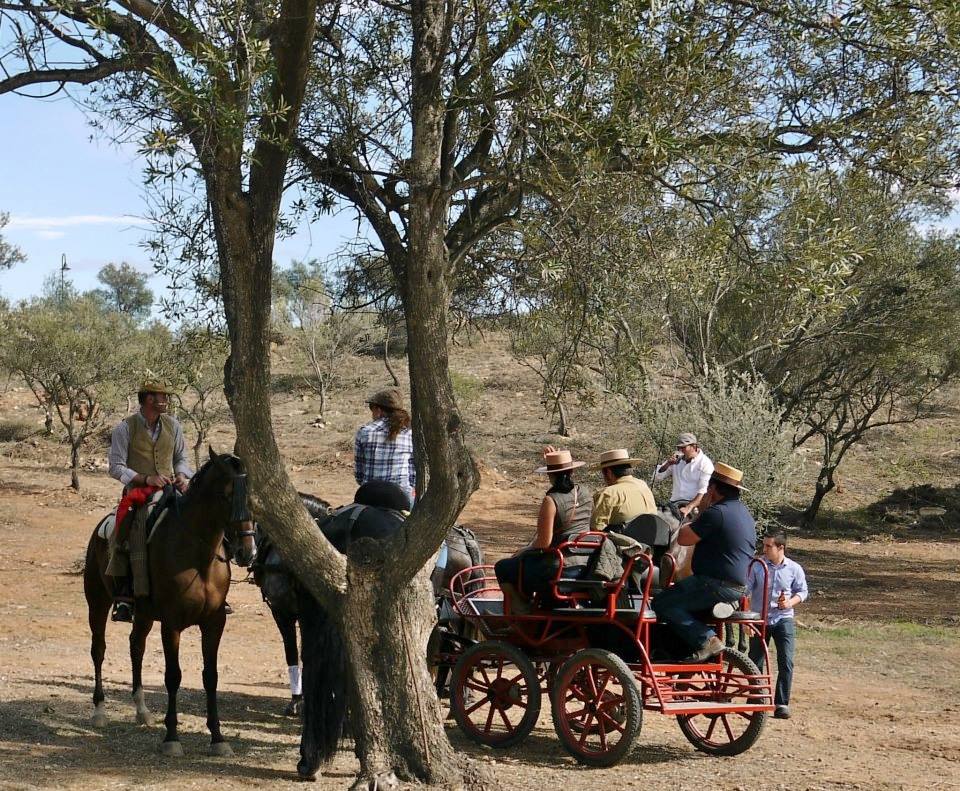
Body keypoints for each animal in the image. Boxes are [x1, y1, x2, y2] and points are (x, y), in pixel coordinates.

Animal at [84, 448, 255, 756]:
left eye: (250, 498)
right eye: (226, 495)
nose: (248, 552)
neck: (198, 558)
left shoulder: (214, 623)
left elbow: (211, 676)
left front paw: (218, 738)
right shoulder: (172, 624)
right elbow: (173, 676)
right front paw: (172, 738)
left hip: (143, 615)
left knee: (136, 647)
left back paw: (141, 710)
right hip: (97, 603)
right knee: (99, 650)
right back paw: (100, 711)